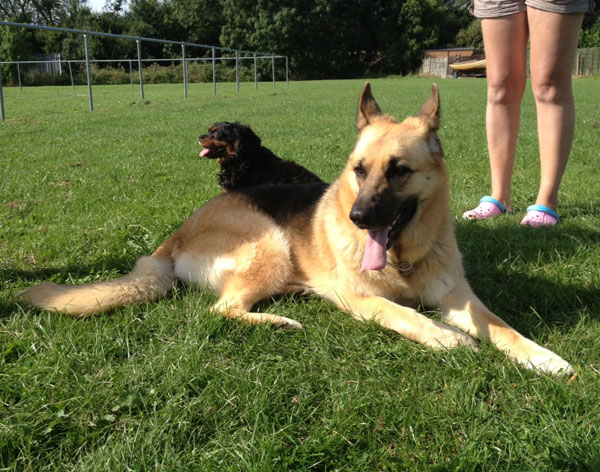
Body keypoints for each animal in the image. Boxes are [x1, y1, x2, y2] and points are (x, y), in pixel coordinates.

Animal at [21, 84, 576, 376]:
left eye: (399, 170)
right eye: (358, 170)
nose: (358, 219)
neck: (403, 259)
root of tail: (174, 236)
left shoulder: (460, 297)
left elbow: (502, 326)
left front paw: (545, 358)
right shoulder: (360, 299)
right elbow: (404, 314)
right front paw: (446, 337)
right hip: (270, 242)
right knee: (220, 309)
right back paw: (278, 321)